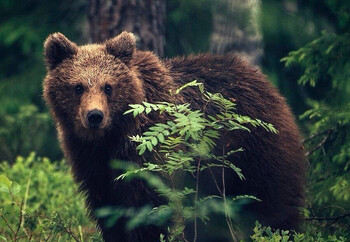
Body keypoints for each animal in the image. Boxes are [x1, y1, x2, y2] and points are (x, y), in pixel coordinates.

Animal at [43, 31, 306, 241]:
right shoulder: (91, 164)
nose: (95, 116)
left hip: (256, 151)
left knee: (274, 204)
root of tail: (267, 84)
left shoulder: (150, 150)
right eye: (78, 87)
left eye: (108, 86)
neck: (111, 137)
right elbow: (108, 210)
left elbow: (147, 206)